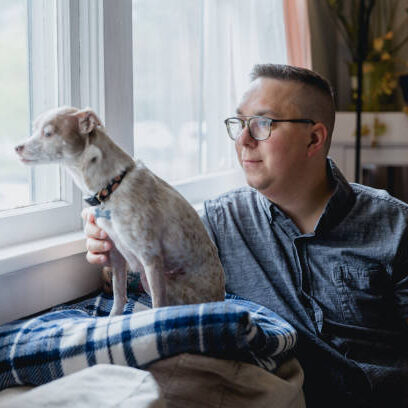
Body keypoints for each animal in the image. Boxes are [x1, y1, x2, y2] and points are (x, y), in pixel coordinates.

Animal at [15, 106, 226, 316]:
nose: (17, 148)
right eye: (34, 128)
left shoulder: (151, 259)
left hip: (160, 280)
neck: (111, 186)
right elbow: (119, 294)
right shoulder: (115, 253)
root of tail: (220, 298)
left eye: (48, 133)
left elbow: (157, 305)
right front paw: (113, 318)